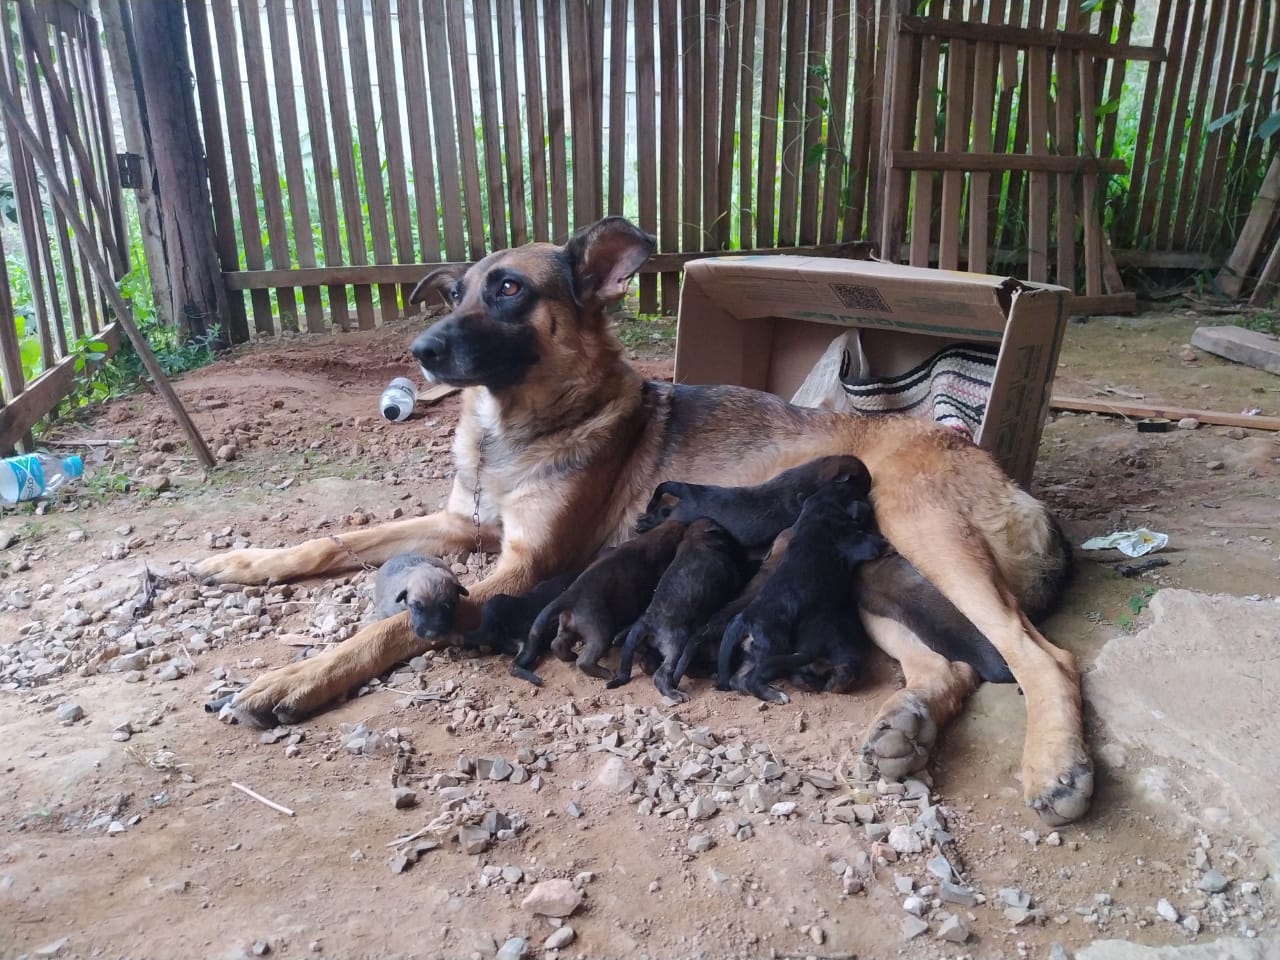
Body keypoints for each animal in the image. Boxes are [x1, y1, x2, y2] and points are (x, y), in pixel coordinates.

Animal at [509, 522, 691, 686]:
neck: (654, 538)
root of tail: (568, 596)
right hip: (600, 631)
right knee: (585, 660)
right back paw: (605, 673)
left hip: (568, 627)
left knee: (557, 644)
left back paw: (570, 656)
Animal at [721, 483, 890, 701]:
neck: (816, 516)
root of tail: (744, 620)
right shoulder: (863, 544)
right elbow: (876, 542)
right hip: (773, 650)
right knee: (752, 679)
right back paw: (776, 696)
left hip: (753, 654)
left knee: (738, 679)